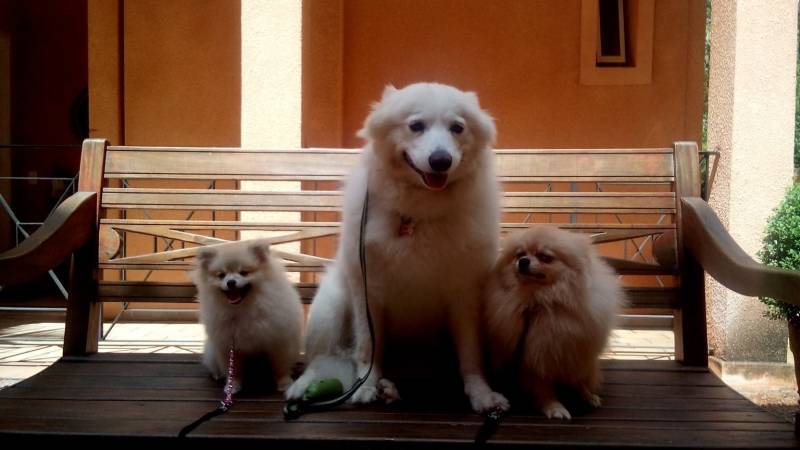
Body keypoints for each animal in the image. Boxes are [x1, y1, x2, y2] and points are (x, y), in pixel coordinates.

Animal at [193, 239, 304, 394]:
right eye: (221, 275)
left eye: (244, 273)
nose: (230, 282)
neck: (243, 308)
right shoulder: (229, 346)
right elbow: (234, 370)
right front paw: (232, 386)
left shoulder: (279, 342)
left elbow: (280, 367)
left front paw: (284, 383)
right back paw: (217, 374)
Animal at [288, 82, 510, 414]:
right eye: (416, 126)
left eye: (457, 128)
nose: (441, 160)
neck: (419, 212)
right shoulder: (369, 291)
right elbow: (368, 348)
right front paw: (365, 387)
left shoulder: (465, 294)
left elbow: (471, 354)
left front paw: (482, 394)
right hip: (331, 308)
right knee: (324, 361)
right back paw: (310, 387)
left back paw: (389, 389)